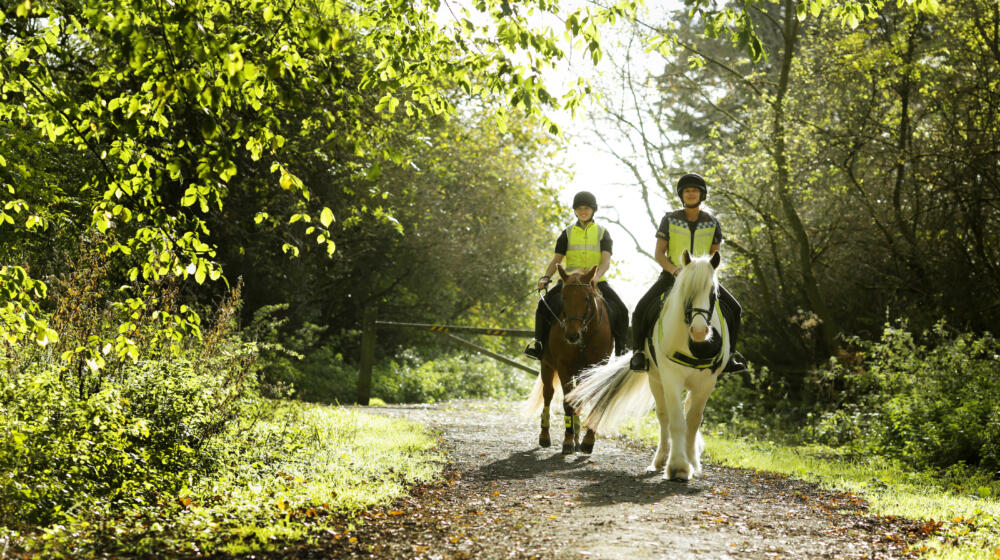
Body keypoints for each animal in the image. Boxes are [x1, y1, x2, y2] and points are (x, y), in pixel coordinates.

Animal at [520, 264, 612, 452]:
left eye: (586, 299)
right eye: (564, 298)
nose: (571, 335)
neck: (585, 336)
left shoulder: (596, 367)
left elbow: (591, 400)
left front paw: (587, 441)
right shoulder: (564, 367)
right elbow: (567, 402)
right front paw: (568, 441)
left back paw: (577, 436)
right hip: (547, 365)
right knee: (548, 394)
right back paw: (545, 436)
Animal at [568, 249, 732, 482]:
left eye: (713, 293)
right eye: (686, 292)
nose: (699, 331)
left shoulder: (707, 382)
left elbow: (693, 421)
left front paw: (692, 462)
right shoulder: (671, 378)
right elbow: (676, 421)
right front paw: (678, 467)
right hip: (655, 380)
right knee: (664, 417)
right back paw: (661, 460)